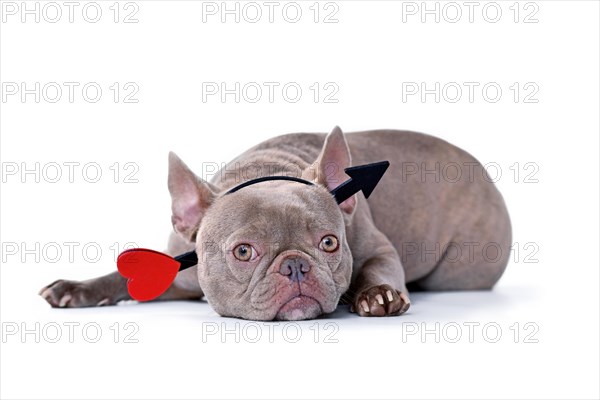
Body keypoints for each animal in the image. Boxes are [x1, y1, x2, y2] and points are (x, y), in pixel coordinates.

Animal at [39, 128, 510, 322]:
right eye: (243, 252)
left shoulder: (375, 246)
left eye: (329, 243)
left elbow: (379, 265)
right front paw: (78, 288)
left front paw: (379, 295)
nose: (295, 265)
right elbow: (127, 276)